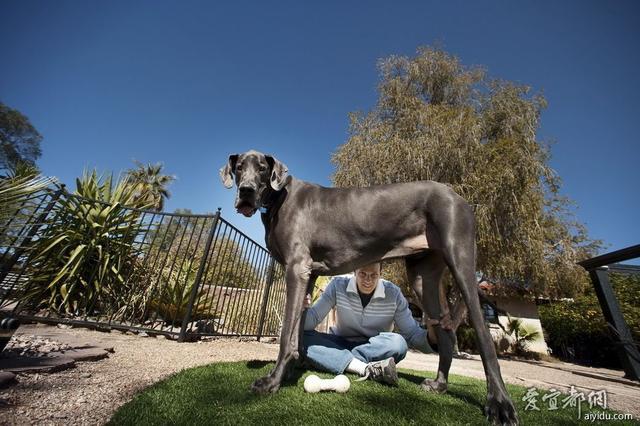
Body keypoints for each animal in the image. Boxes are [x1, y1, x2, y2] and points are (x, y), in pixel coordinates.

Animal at [220, 151, 520, 426]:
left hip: (460, 259)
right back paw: (439, 385)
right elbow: (299, 330)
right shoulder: (309, 274)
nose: (246, 191)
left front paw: (272, 381)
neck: (278, 198)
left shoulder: (296, 268)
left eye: (262, 168)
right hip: (422, 277)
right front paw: (295, 366)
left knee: (483, 335)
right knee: (445, 334)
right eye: (239, 167)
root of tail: (455, 194)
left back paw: (500, 404)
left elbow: (286, 336)